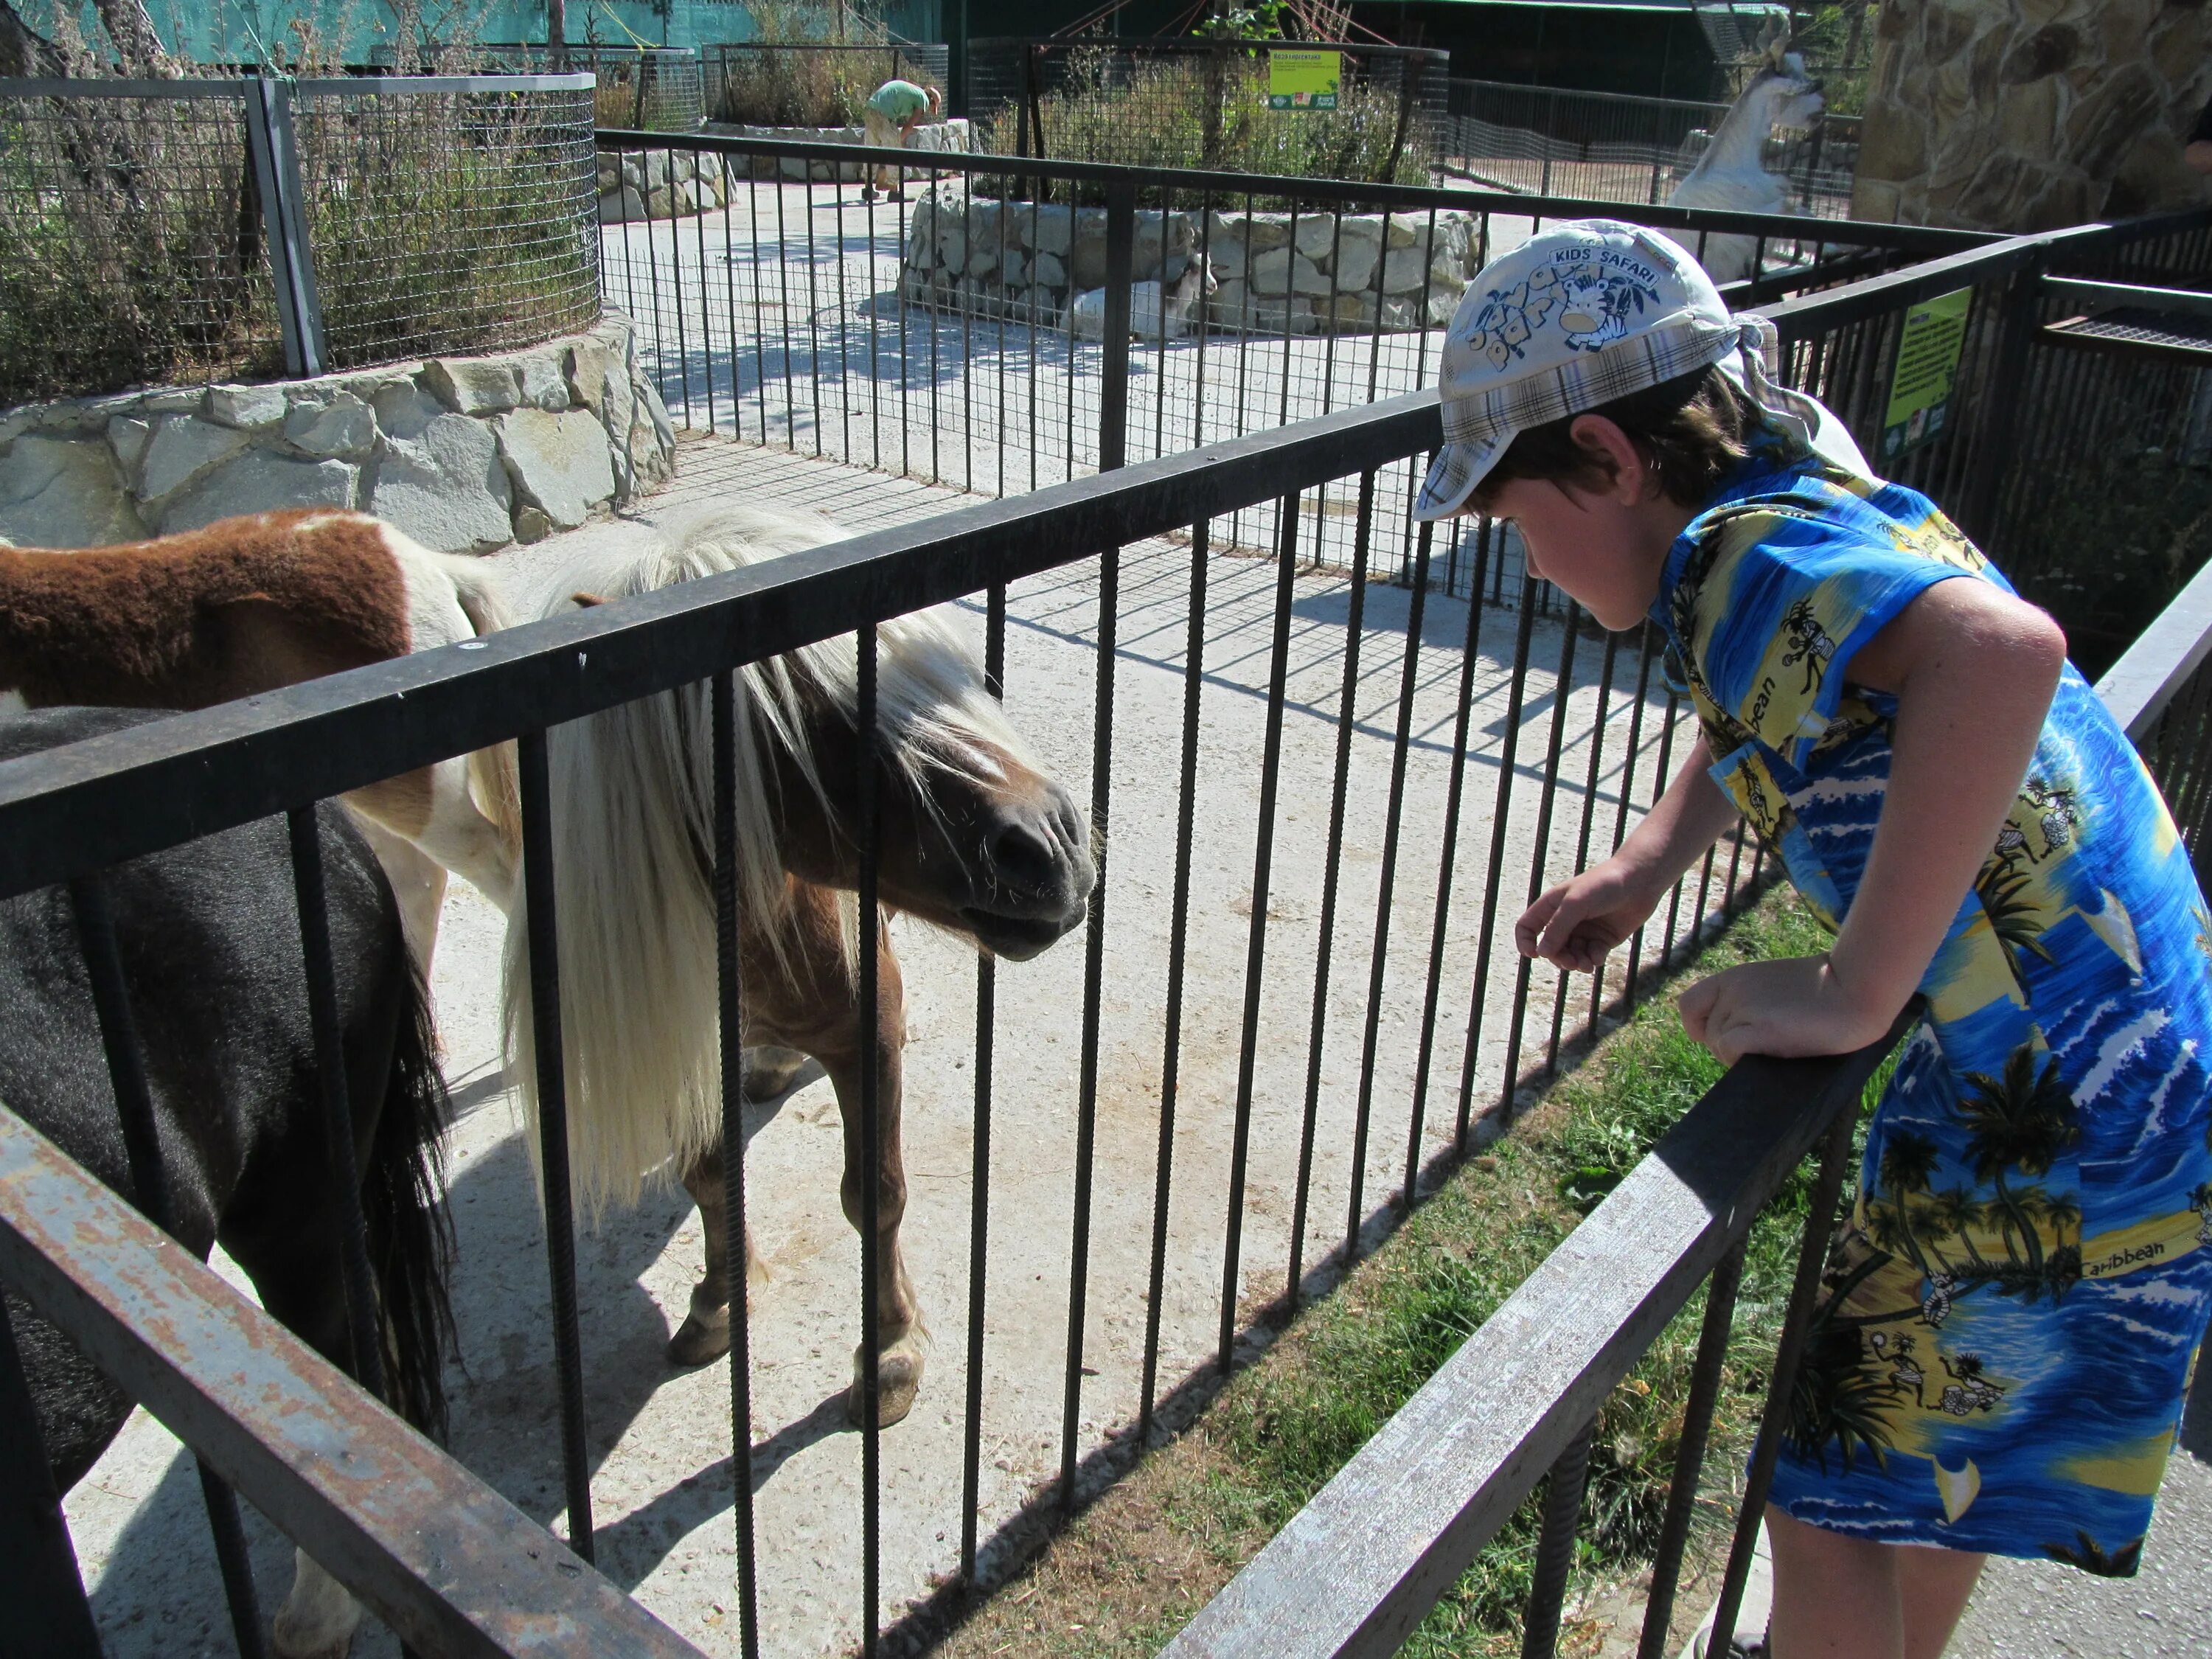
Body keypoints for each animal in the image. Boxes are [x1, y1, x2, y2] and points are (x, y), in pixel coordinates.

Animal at [500, 500, 1088, 1425]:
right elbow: (709, 1178)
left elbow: (874, 1196)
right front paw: (717, 1301)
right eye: (797, 717)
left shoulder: (869, 1034)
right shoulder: (686, 1053)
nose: (1050, 842)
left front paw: (887, 1353)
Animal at [1663, 26, 1823, 283]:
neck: (1732, 165)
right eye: (1799, 88)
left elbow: (1801, 210)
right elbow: (1790, 208)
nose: (1823, 106)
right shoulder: (1741, 232)